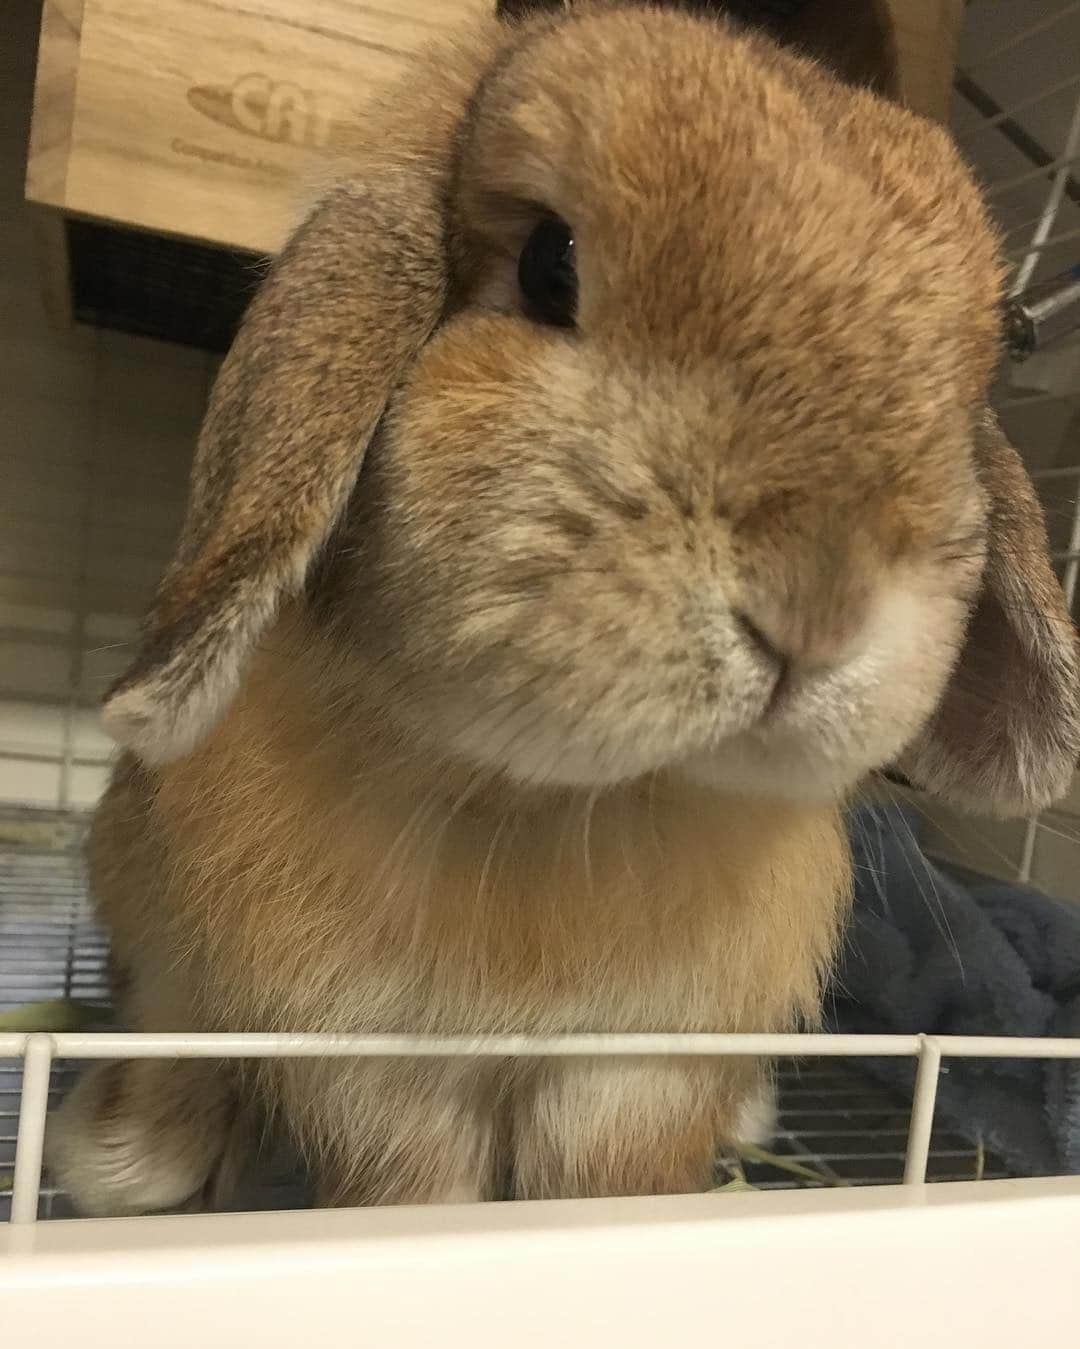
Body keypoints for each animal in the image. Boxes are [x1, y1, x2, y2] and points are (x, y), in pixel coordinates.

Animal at [47, 0, 1080, 1215]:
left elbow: (607, 1180)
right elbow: (411, 1187)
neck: (559, 806)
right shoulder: (366, 1059)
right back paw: (130, 1152)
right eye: (550, 263)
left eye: (996, 348)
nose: (817, 609)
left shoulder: (639, 1068)